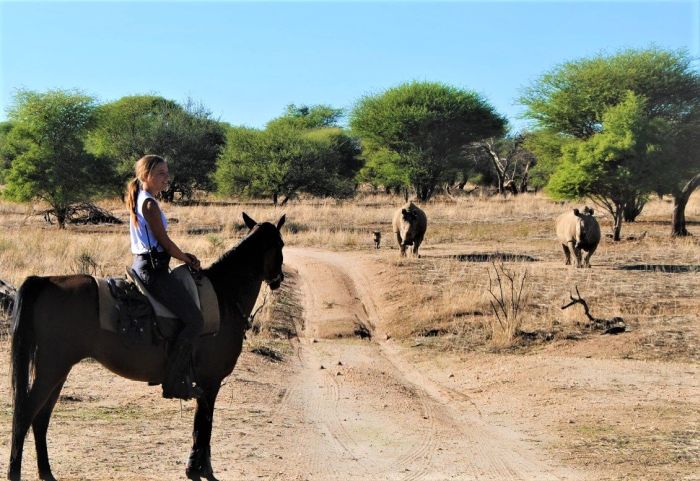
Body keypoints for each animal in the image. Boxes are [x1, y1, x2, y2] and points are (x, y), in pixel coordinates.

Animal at [5, 212, 284, 480]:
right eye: (280, 244)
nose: (279, 279)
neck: (224, 297)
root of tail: (45, 281)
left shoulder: (205, 384)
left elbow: (199, 425)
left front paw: (195, 469)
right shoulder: (210, 382)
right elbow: (204, 426)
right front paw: (202, 470)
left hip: (58, 370)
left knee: (41, 418)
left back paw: (46, 472)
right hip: (52, 368)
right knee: (25, 414)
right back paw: (14, 472)